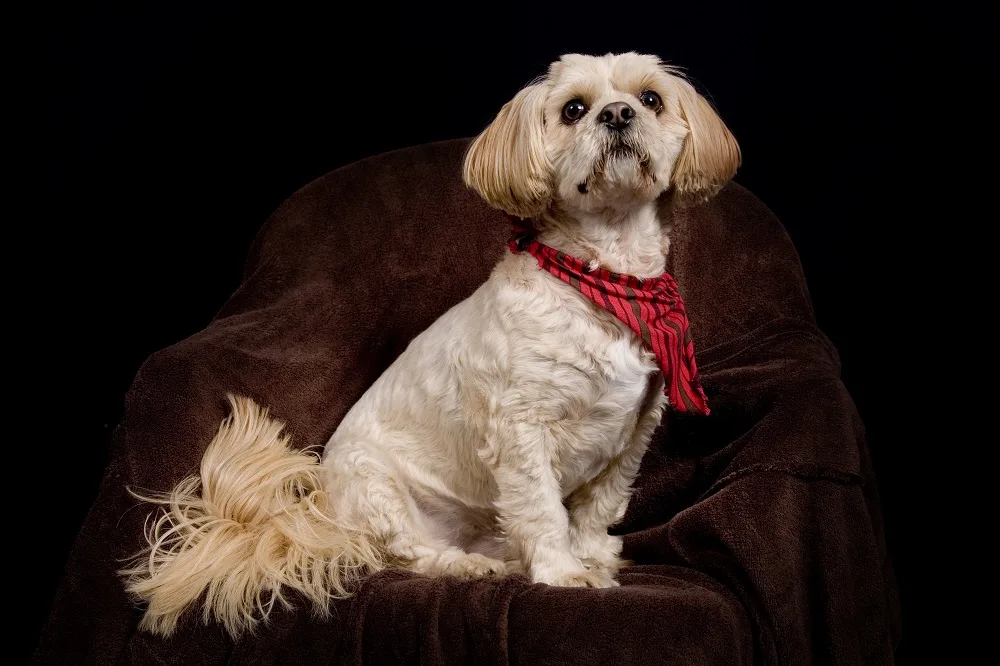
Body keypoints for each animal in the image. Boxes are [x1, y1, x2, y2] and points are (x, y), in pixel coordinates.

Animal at [121, 50, 740, 632]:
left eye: (651, 99)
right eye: (573, 109)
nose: (617, 114)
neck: (605, 281)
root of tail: (315, 513)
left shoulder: (633, 432)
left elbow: (597, 508)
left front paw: (592, 559)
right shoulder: (521, 431)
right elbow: (543, 509)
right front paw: (564, 573)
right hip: (376, 490)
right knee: (409, 556)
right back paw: (467, 566)